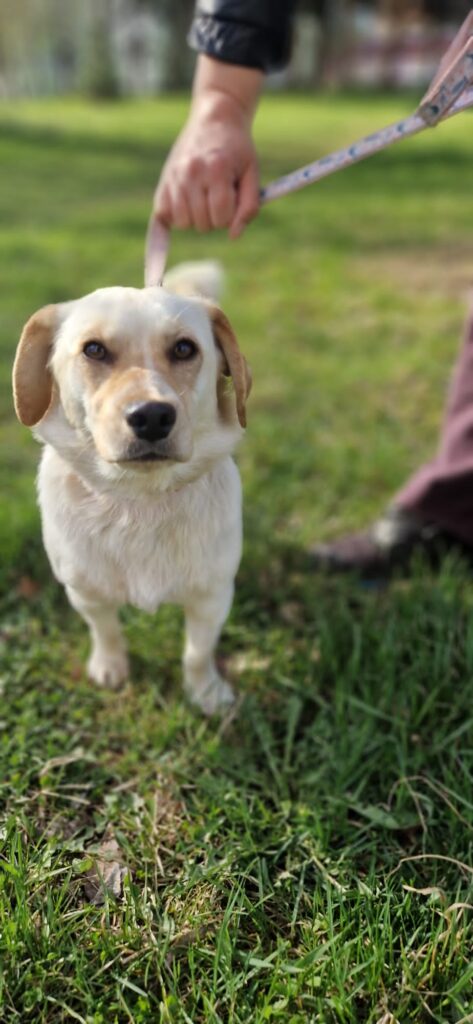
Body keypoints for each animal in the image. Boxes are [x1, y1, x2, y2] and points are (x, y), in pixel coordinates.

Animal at [12, 263, 251, 715]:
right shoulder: (85, 592)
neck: (141, 501)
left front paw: (206, 692)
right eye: (93, 350)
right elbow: (105, 631)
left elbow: (197, 653)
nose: (153, 416)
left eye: (184, 349)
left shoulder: (213, 596)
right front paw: (110, 668)